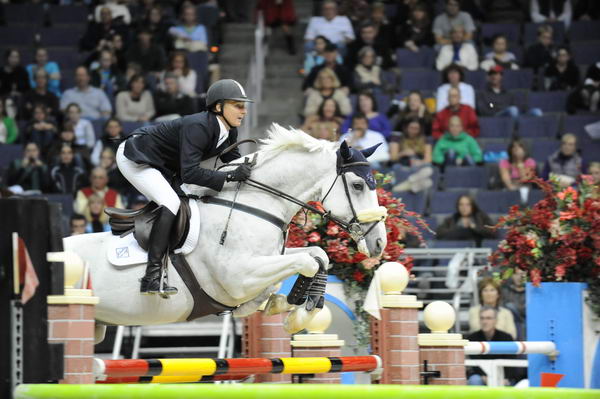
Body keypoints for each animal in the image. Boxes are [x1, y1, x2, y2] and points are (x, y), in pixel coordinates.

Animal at [63, 124, 386, 340]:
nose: (379, 242)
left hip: (96, 325)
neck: (255, 201)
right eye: (358, 185)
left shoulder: (267, 258)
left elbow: (318, 255)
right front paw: (294, 312)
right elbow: (308, 261)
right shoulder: (239, 276)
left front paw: (284, 304)